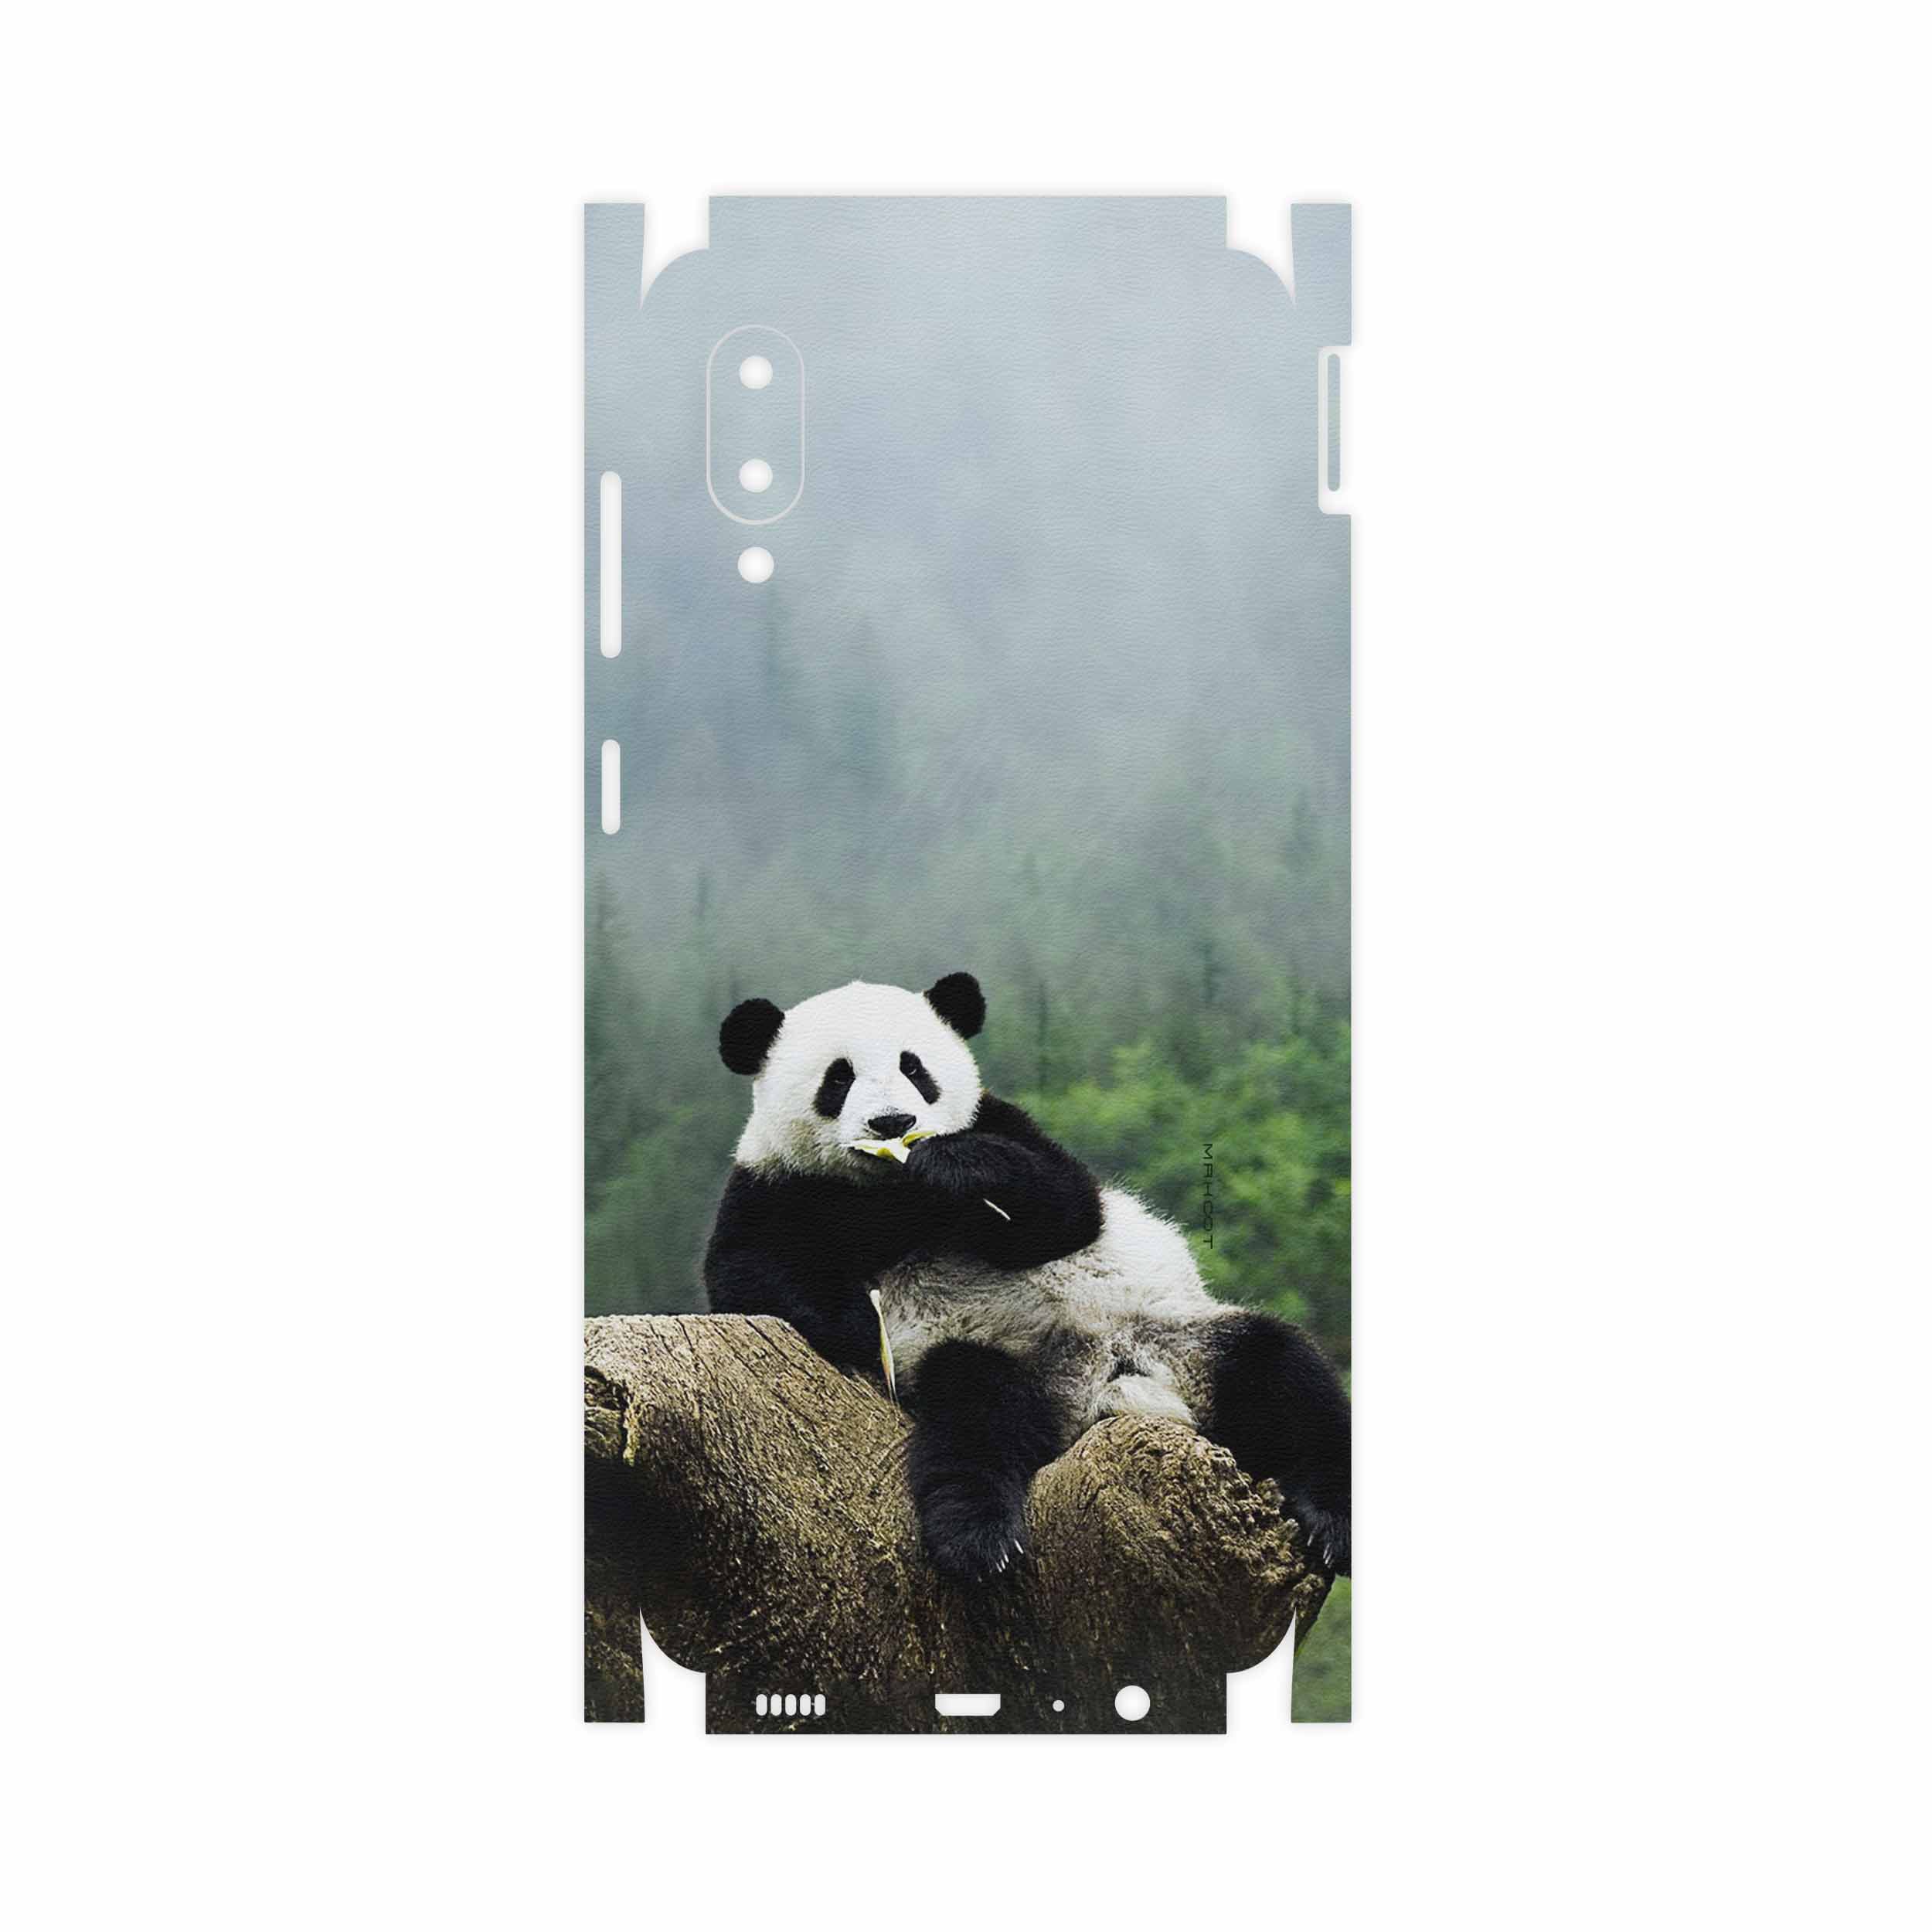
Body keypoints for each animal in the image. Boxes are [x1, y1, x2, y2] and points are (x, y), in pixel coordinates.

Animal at [704, 972, 1351, 1583]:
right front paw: (862, 1324)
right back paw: (980, 1538)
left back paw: (1332, 1522)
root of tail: (1105, 1389)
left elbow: (1067, 1209)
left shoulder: (1003, 1123)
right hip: (993, 1355)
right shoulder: (775, 1185)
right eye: (838, 1078)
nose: (894, 1122)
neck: (891, 1191)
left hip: (1182, 1337)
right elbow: (747, 1273)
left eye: (914, 1068)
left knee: (1285, 1374)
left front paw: (955, 1167)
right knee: (974, 1419)